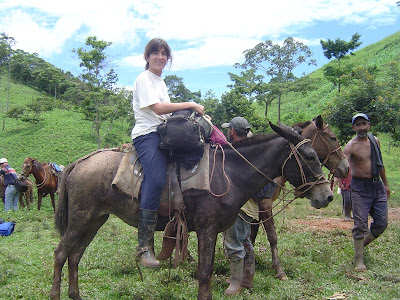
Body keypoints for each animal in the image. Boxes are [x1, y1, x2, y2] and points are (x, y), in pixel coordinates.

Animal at [48, 122, 332, 300]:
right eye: (309, 156)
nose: (327, 195)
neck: (228, 173)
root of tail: (78, 162)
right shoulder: (207, 229)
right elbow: (204, 274)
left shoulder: (213, 231)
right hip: (80, 220)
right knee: (61, 254)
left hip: (94, 220)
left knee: (75, 256)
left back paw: (75, 295)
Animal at [250, 115, 350, 282]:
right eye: (333, 137)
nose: (346, 167)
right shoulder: (264, 204)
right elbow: (272, 236)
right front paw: (279, 269)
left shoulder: (255, 207)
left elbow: (252, 234)